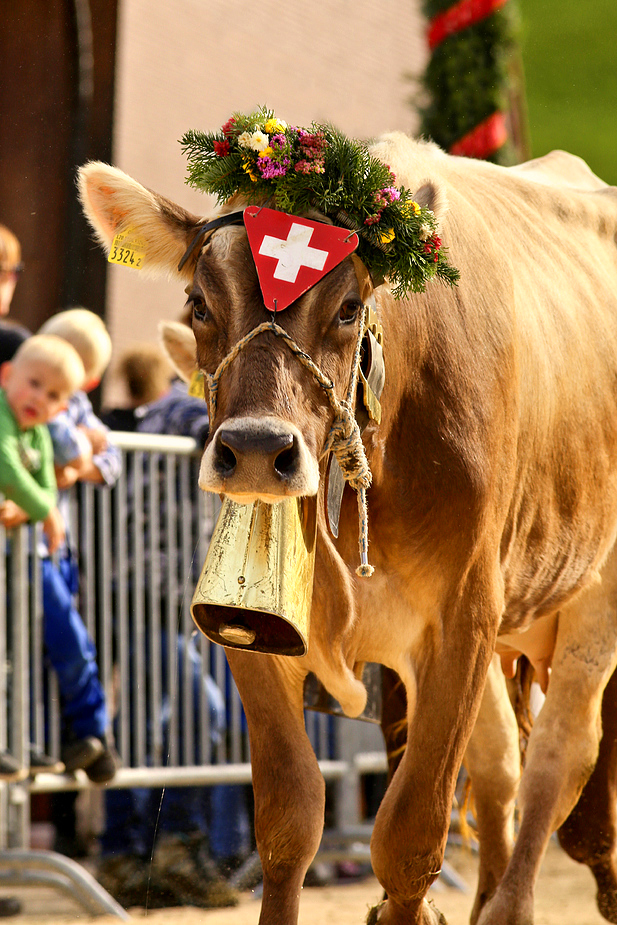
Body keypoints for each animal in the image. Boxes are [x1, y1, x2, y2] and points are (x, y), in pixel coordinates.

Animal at [79, 135, 616, 924]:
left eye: (350, 307)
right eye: (199, 303)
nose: (257, 450)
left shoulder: (463, 616)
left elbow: (409, 837)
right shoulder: (250, 622)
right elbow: (288, 819)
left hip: (590, 601)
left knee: (558, 754)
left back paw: (509, 899)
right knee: (500, 769)